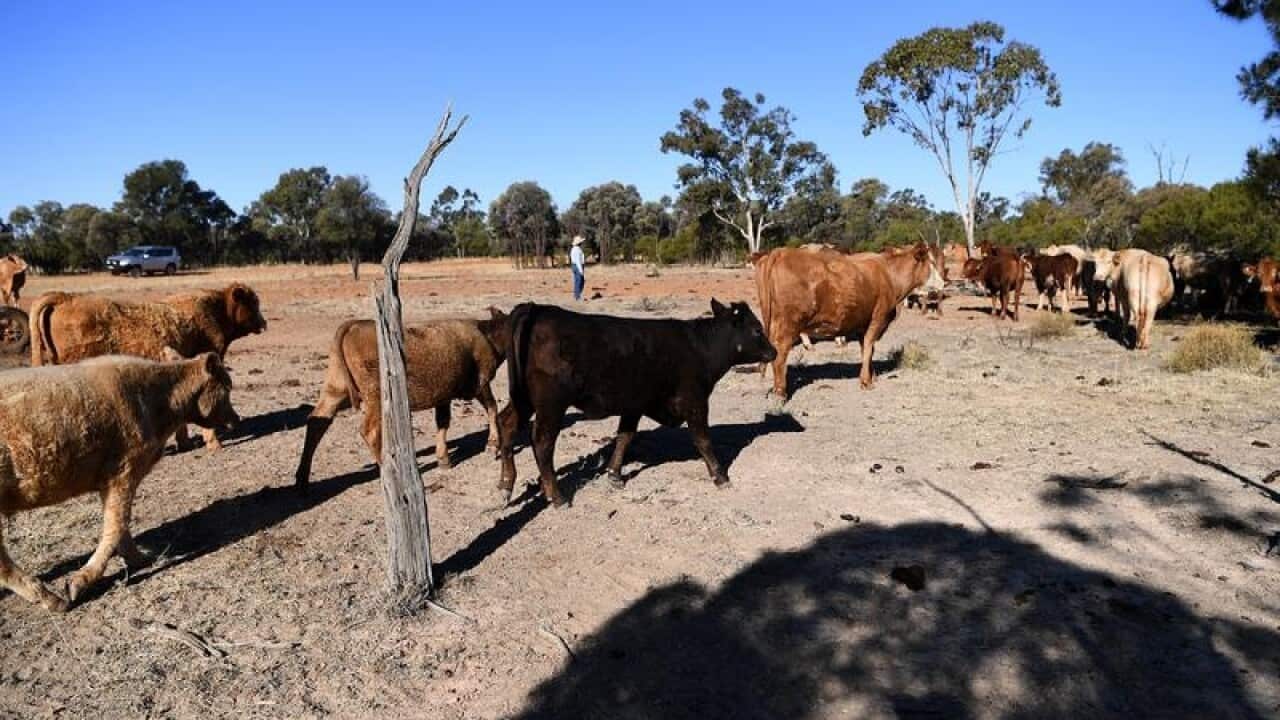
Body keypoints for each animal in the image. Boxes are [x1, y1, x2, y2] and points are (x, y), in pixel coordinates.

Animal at [0, 353, 238, 611]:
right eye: (227, 387)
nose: (236, 419)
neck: (157, 401)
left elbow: (120, 527)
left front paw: (140, 560)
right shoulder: (123, 472)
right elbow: (116, 525)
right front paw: (77, 584)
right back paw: (52, 599)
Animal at [28, 284, 266, 450]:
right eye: (253, 303)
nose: (263, 323)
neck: (216, 311)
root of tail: (65, 298)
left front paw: (185, 443)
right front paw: (213, 443)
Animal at [294, 309, 510, 489]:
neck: (486, 335)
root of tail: (354, 325)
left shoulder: (443, 395)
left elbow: (443, 423)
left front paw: (444, 459)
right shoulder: (480, 383)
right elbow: (492, 408)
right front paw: (492, 445)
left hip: (335, 390)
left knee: (317, 422)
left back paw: (302, 479)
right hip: (375, 397)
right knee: (369, 431)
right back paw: (390, 470)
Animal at [495, 300, 776, 507]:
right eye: (757, 329)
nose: (773, 352)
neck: (699, 347)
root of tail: (538, 308)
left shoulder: (634, 406)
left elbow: (624, 437)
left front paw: (614, 475)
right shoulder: (695, 402)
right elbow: (703, 440)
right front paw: (720, 476)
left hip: (522, 399)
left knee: (506, 423)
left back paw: (505, 485)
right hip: (551, 405)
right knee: (542, 443)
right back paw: (557, 497)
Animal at [754, 243, 944, 399]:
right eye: (931, 263)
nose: (943, 283)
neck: (889, 275)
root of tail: (780, 252)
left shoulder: (863, 324)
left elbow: (868, 350)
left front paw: (871, 376)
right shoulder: (878, 318)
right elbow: (868, 347)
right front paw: (866, 382)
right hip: (788, 324)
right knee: (781, 353)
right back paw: (780, 393)